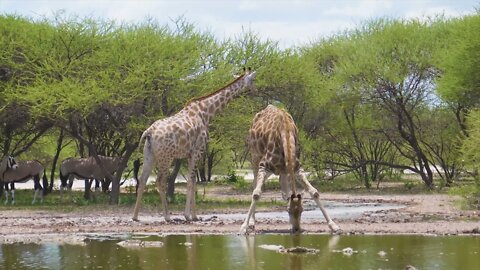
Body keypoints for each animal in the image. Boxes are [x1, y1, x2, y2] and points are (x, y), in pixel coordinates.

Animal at [133, 69, 256, 221]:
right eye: (253, 80)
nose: (255, 91)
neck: (205, 113)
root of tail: (149, 132)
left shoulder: (190, 153)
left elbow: (192, 181)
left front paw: (192, 215)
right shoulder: (198, 150)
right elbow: (192, 181)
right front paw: (190, 216)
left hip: (149, 154)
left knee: (143, 179)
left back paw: (135, 216)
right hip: (166, 157)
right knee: (160, 181)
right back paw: (167, 217)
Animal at [239, 105, 338, 234]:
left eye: (302, 210)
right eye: (289, 211)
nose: (297, 228)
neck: (285, 131)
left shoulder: (297, 168)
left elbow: (314, 192)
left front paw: (333, 225)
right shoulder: (264, 165)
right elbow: (256, 194)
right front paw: (243, 227)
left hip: (283, 169)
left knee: (284, 192)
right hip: (254, 157)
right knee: (255, 185)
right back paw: (252, 223)